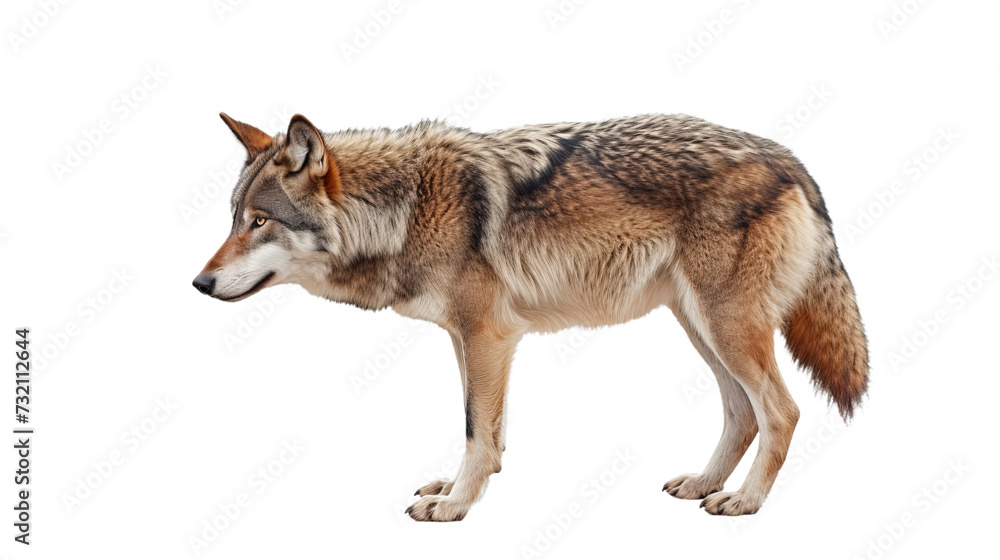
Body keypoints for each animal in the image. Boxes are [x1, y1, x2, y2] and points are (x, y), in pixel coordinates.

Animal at [193, 112, 868, 520]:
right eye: (232, 220)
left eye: (260, 222)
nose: (199, 284)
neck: (405, 208)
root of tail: (789, 157)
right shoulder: (467, 340)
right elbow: (483, 432)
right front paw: (455, 489)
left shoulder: (489, 336)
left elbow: (476, 430)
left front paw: (456, 507)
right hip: (701, 327)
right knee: (741, 412)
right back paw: (705, 485)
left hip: (726, 327)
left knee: (781, 411)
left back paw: (744, 501)